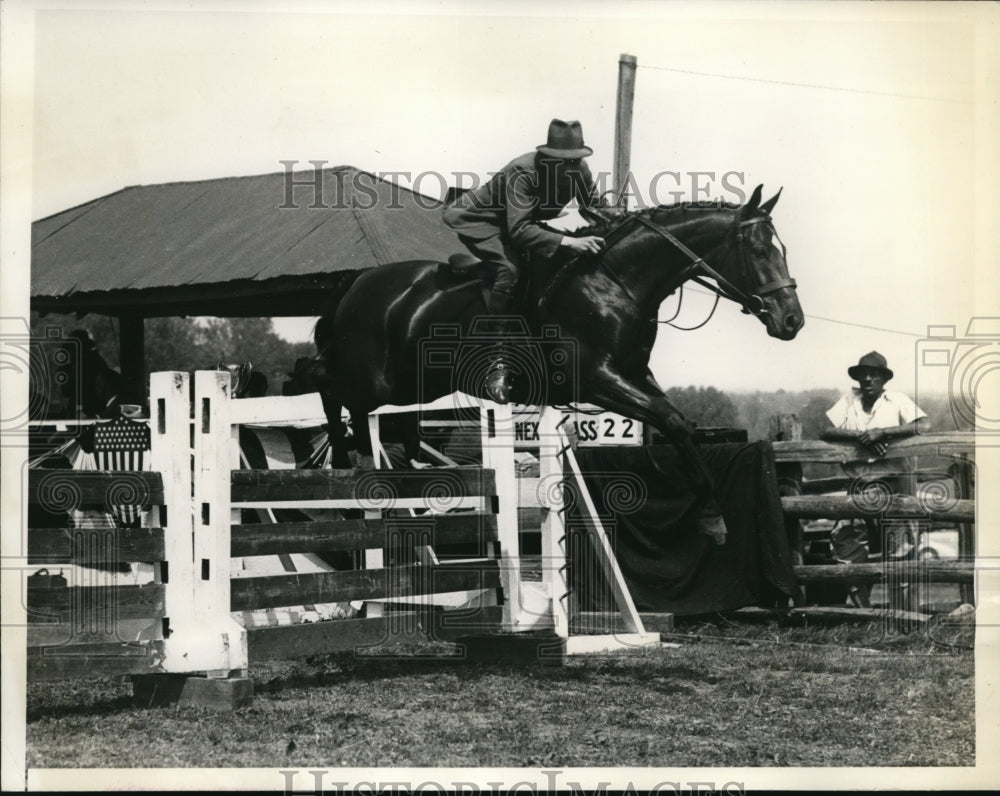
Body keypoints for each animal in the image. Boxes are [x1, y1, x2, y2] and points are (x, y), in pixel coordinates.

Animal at [312, 183, 804, 512]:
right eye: (760, 252)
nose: (791, 320)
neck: (615, 280)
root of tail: (354, 284)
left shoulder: (634, 373)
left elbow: (677, 421)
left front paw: (707, 506)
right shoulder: (597, 378)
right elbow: (670, 420)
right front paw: (710, 513)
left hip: (414, 384)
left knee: (372, 409)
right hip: (374, 378)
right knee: (329, 388)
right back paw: (342, 461)